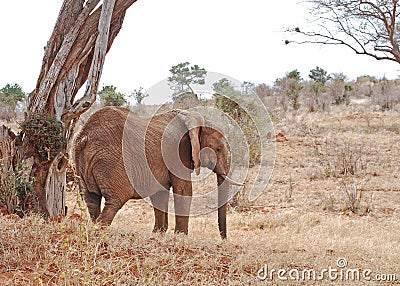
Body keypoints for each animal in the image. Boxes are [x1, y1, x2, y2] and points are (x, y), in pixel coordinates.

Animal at [74, 106, 244, 238]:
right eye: (218, 149)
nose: (224, 239)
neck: (197, 121)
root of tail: (85, 137)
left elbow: (160, 193)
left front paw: (158, 234)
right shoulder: (178, 152)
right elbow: (184, 190)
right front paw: (180, 237)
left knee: (91, 199)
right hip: (111, 161)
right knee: (116, 199)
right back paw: (100, 233)